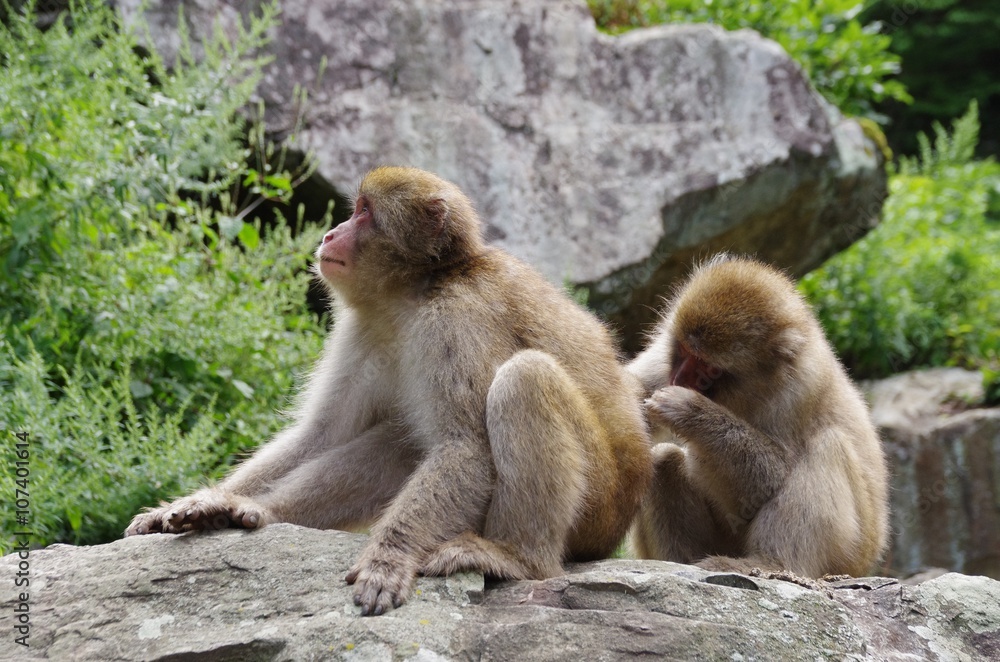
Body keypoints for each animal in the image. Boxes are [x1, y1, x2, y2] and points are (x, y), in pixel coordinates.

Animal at [125, 166, 652, 616]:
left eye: (363, 212)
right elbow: (322, 434)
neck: (414, 291)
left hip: (597, 509)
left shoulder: (456, 319)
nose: (329, 233)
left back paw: (516, 557)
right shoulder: (365, 328)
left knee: (525, 378)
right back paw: (256, 513)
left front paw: (389, 556)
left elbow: (466, 447)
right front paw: (208, 500)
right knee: (401, 438)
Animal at [628, 256, 888, 580]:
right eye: (685, 351)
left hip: (850, 556)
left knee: (827, 445)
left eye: (710, 368)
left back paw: (771, 563)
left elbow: (769, 477)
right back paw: (681, 561)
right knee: (664, 459)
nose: (680, 379)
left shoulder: (799, 390)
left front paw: (691, 410)